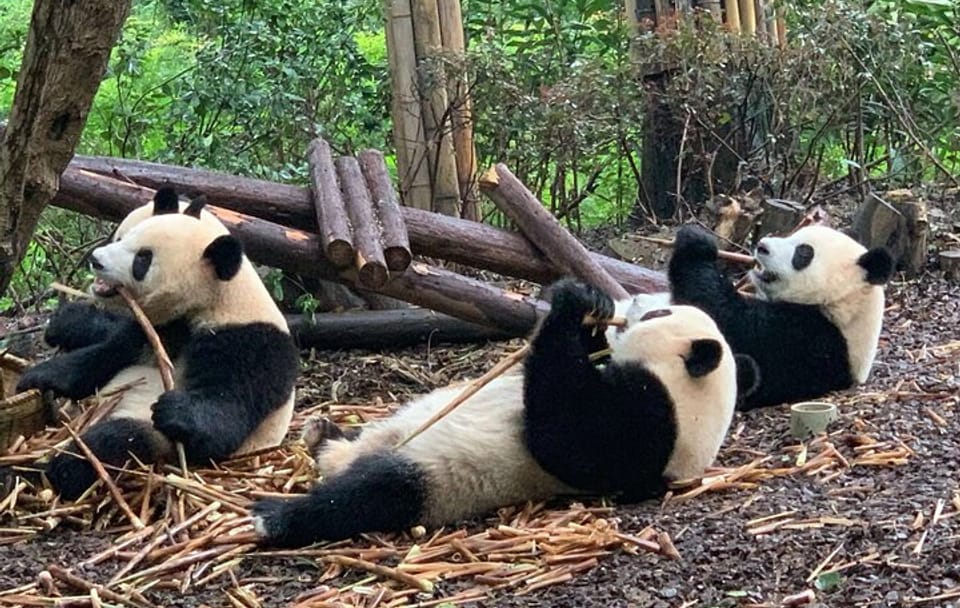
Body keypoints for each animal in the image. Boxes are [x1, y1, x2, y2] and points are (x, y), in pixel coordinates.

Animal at [16, 188, 300, 500]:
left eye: (143, 259)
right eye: (123, 238)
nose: (96, 259)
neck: (215, 300)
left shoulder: (249, 344)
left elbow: (225, 420)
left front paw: (175, 409)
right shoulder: (153, 329)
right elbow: (101, 358)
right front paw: (37, 376)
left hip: (155, 439)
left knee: (118, 439)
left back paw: (60, 469)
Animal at [251, 278, 752, 548]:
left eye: (659, 314)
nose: (634, 304)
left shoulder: (648, 427)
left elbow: (565, 435)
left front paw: (570, 306)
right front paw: (591, 305)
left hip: (435, 477)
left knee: (370, 495)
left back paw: (276, 516)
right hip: (393, 431)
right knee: (356, 448)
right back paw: (323, 433)